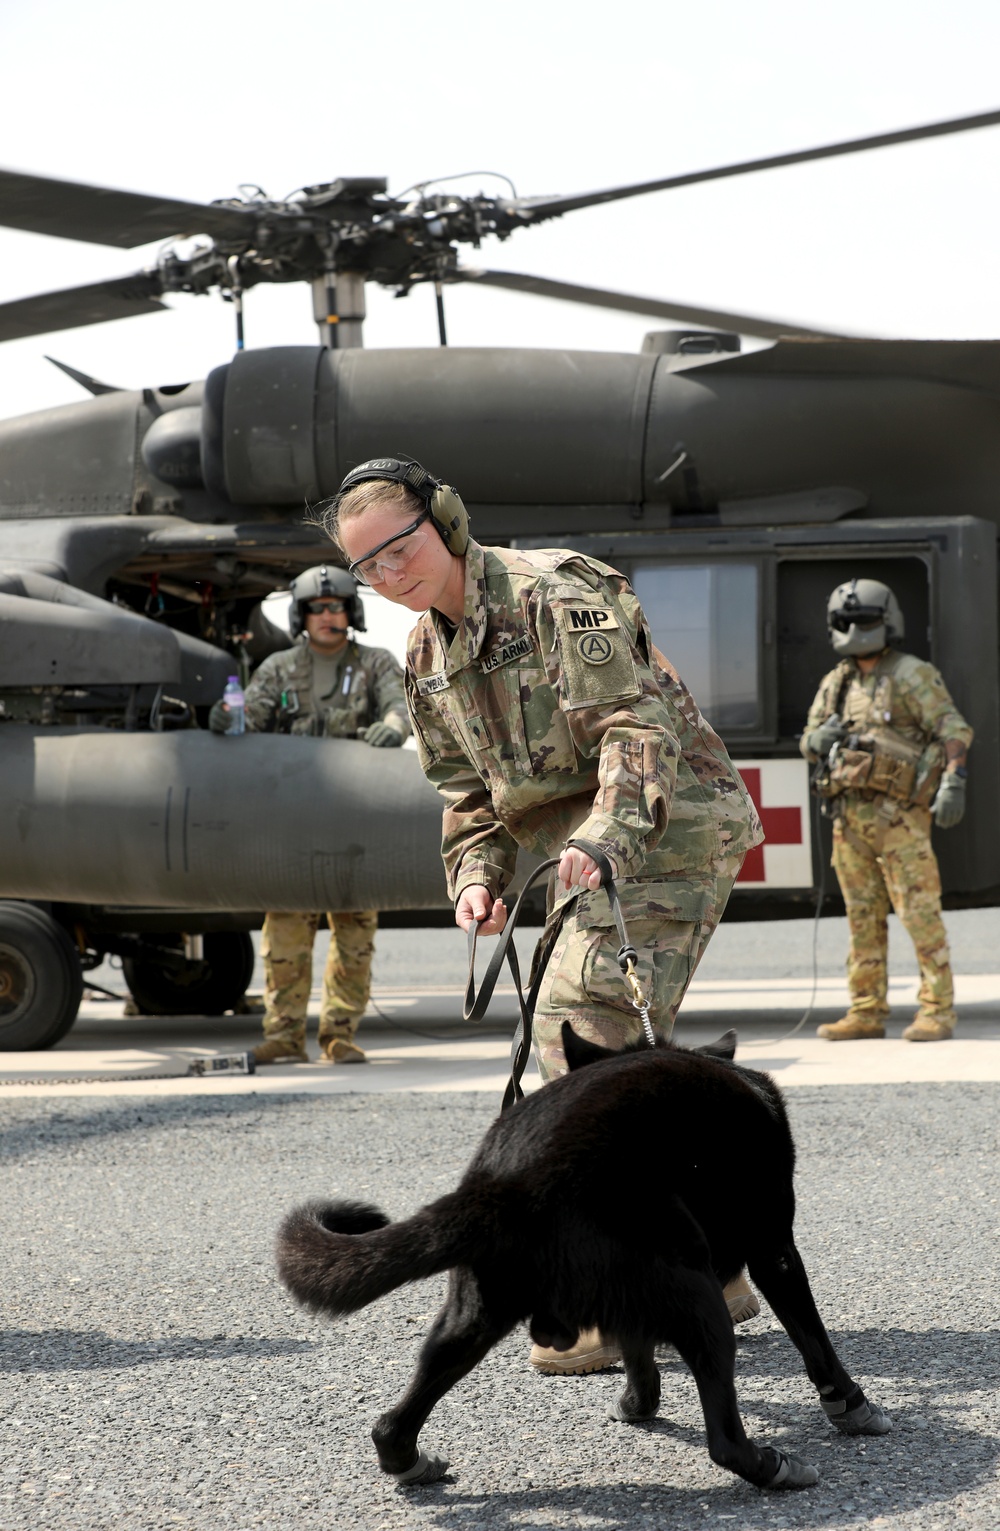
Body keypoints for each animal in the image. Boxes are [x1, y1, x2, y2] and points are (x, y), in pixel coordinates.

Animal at [275, 1022, 888, 1488]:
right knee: (724, 1441)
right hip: (696, 1288)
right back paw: (773, 1467)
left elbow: (639, 1358)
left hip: (473, 1319)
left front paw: (638, 1405)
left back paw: (410, 1464)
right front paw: (849, 1404)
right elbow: (814, 1341)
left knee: (391, 1422)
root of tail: (510, 1181)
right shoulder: (775, 1252)